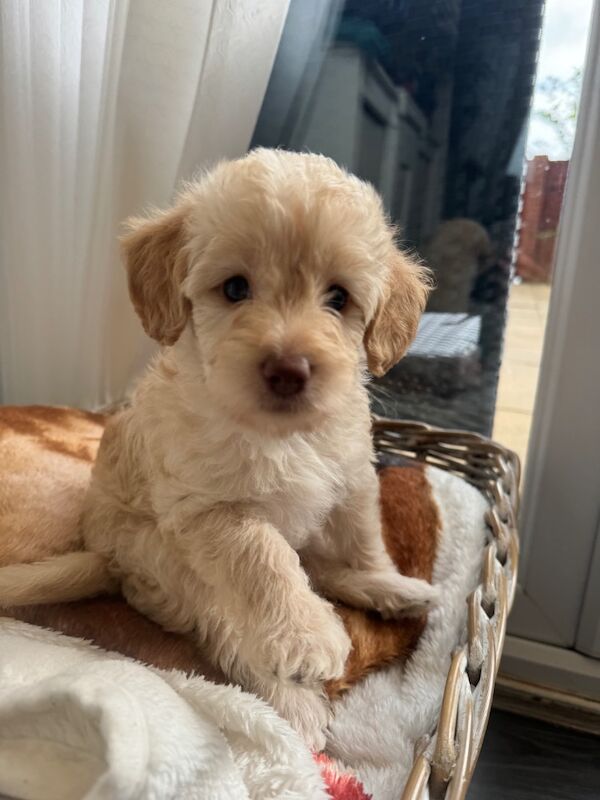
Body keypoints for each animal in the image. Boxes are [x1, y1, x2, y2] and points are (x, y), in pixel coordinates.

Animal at [4, 150, 436, 752]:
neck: (282, 436)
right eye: (235, 289)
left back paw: (397, 596)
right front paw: (305, 635)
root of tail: (106, 558)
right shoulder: (208, 511)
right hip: (170, 566)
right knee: (231, 628)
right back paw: (294, 702)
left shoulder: (352, 476)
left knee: (318, 567)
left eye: (339, 298)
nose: (288, 369)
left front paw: (381, 579)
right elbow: (263, 556)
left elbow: (361, 540)